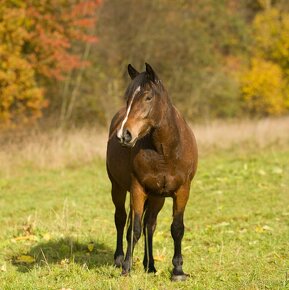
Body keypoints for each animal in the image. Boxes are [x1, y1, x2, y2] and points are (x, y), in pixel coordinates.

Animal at [106, 61, 198, 280]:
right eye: (128, 97)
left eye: (148, 97)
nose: (124, 135)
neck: (165, 151)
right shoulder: (138, 189)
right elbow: (134, 229)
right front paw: (126, 268)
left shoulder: (182, 191)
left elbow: (177, 228)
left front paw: (178, 271)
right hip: (118, 188)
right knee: (121, 219)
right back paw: (119, 259)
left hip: (157, 197)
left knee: (150, 225)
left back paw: (150, 265)